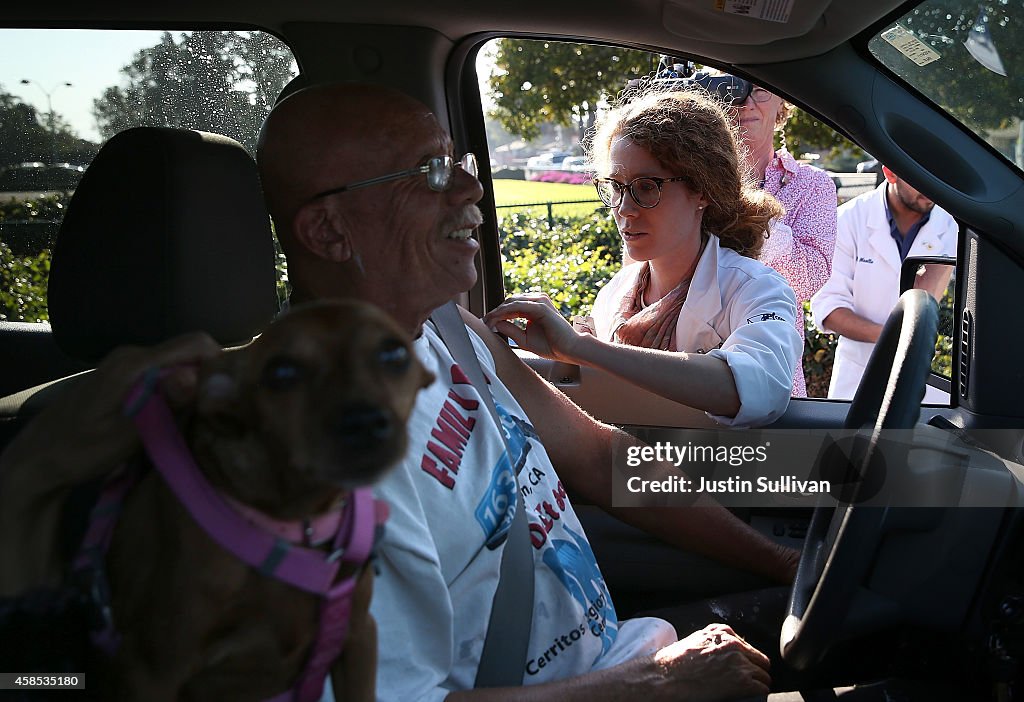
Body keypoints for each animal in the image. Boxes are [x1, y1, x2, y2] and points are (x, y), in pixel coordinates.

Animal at [91, 300, 432, 702]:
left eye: (395, 353)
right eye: (281, 372)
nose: (363, 422)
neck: (295, 528)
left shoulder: (359, 634)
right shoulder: (149, 671)